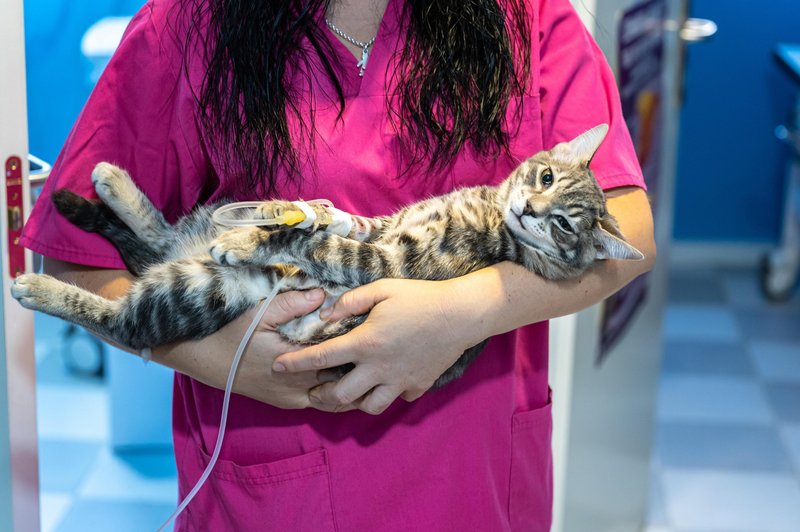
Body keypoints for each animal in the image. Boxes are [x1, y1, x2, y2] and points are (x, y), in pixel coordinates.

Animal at [12, 124, 644, 386]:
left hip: (197, 290)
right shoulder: (385, 227)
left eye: (564, 225)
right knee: (162, 236)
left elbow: (321, 244)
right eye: (545, 176)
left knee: (121, 322)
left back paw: (34, 287)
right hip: (194, 241)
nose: (531, 209)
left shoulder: (391, 264)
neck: (489, 213)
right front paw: (296, 211)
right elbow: (345, 221)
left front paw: (254, 239)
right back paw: (111, 180)